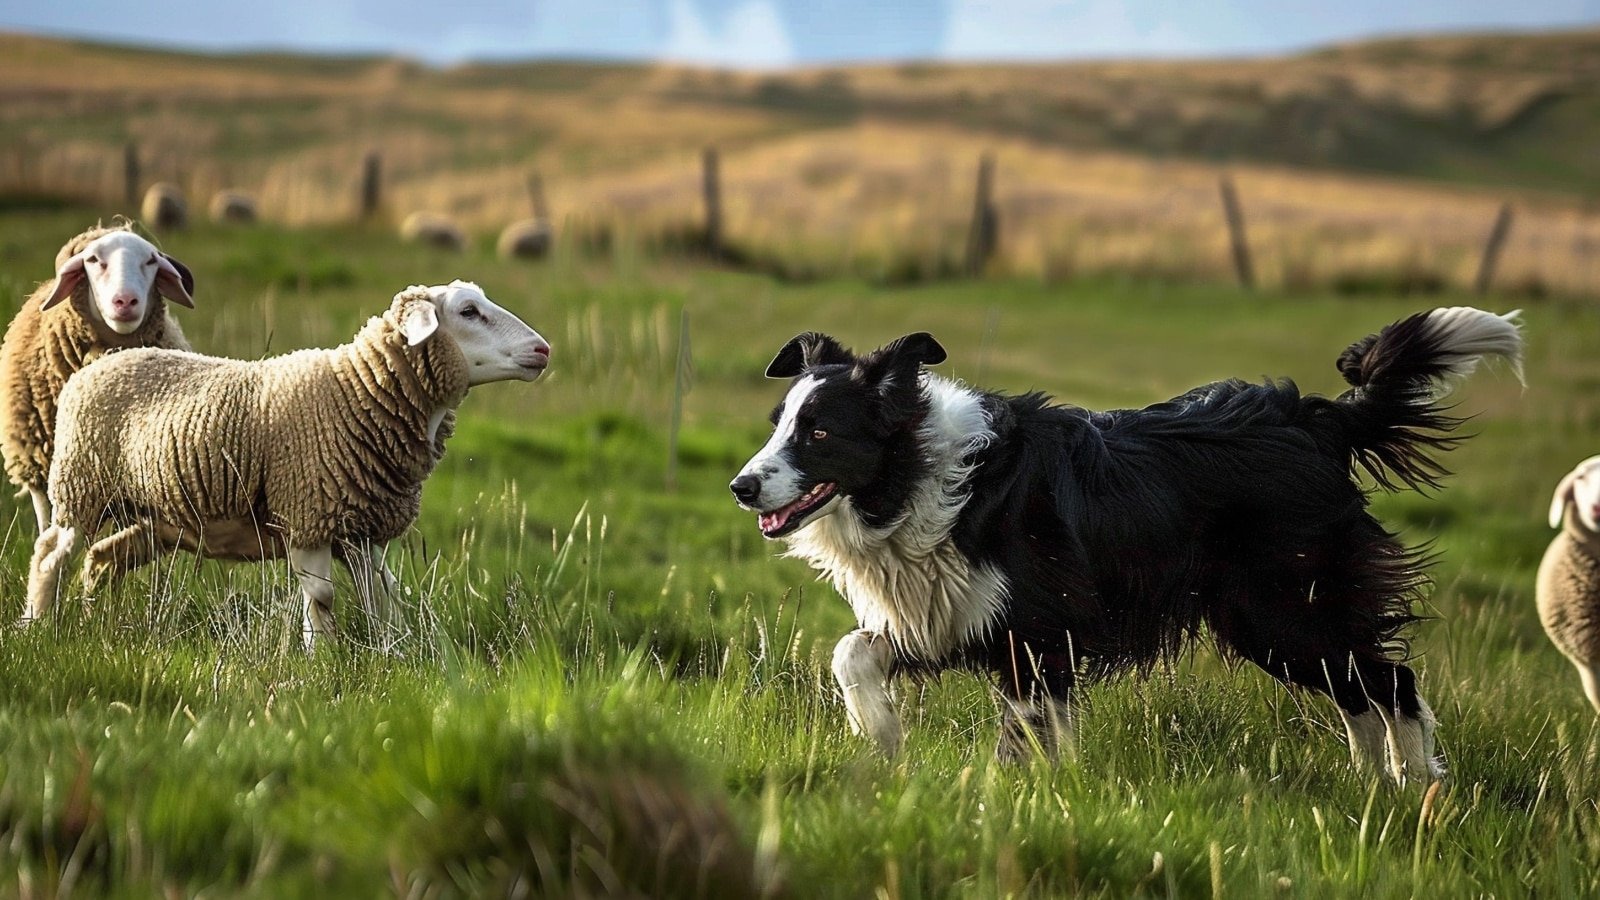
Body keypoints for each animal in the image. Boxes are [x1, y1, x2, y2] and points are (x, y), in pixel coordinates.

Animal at [23, 277, 550, 646]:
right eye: (468, 311)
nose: (542, 349)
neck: (357, 392)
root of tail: (98, 363)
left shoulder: (359, 529)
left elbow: (381, 598)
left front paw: (394, 654)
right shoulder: (307, 513)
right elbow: (322, 599)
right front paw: (322, 665)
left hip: (153, 516)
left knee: (103, 557)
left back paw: (93, 617)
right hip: (81, 485)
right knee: (51, 554)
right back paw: (37, 626)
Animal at [732, 304, 1516, 781]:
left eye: (818, 432)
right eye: (777, 425)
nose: (741, 486)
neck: (921, 477)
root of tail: (1316, 419)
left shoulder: (1037, 629)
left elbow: (1021, 734)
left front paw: (1006, 797)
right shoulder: (950, 612)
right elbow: (851, 652)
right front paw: (882, 738)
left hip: (1286, 605)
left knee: (1393, 684)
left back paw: (1415, 790)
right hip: (1270, 620)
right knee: (1356, 692)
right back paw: (1368, 788)